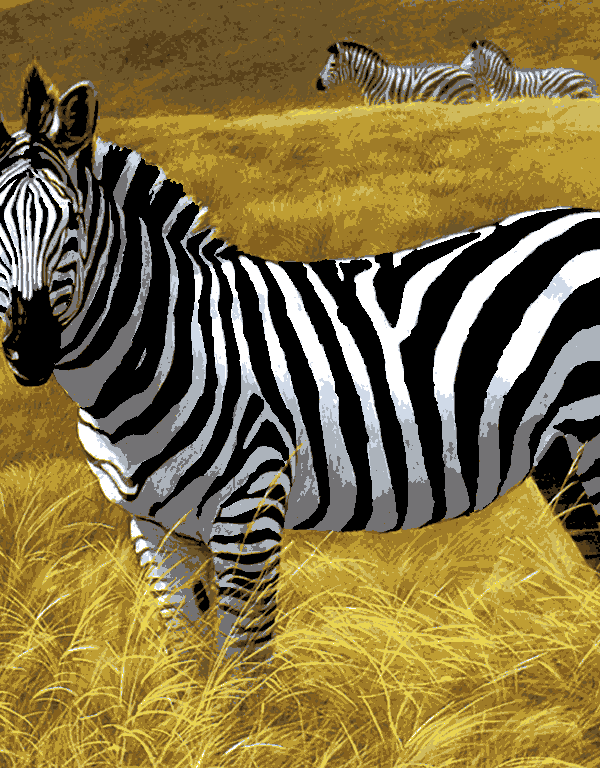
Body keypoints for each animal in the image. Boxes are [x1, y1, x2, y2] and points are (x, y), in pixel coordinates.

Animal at [2, 62, 600, 680]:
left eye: (73, 224)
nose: (27, 351)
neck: (164, 344)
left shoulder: (250, 504)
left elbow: (245, 665)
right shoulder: (154, 528)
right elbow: (186, 665)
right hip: (562, 462)